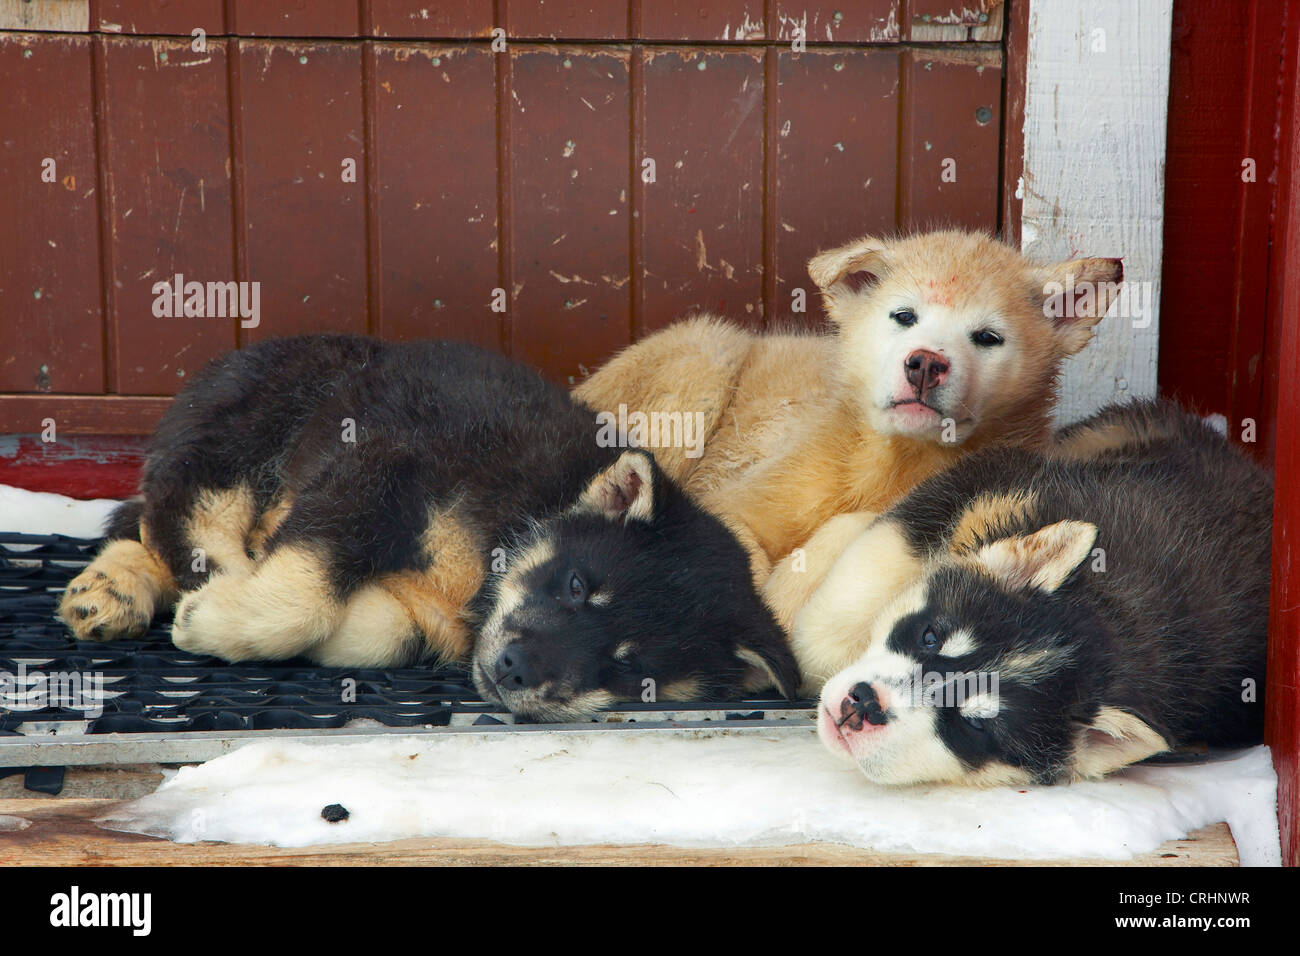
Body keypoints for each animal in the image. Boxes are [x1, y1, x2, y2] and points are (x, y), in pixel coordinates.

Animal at [58, 335, 790, 717]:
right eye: (578, 587)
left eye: (631, 666)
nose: (516, 670)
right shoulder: (384, 461)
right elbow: (303, 588)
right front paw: (220, 617)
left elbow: (381, 627)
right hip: (253, 423)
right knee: (174, 511)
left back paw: (112, 589)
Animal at [574, 231, 1123, 642]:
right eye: (903, 316)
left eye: (988, 337)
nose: (925, 363)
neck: (893, 459)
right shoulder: (742, 501)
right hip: (704, 358)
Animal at [811, 400, 1268, 790]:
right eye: (930, 637)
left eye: (975, 726)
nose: (860, 706)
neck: (1112, 611)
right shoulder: (998, 479)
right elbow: (876, 560)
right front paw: (814, 647)